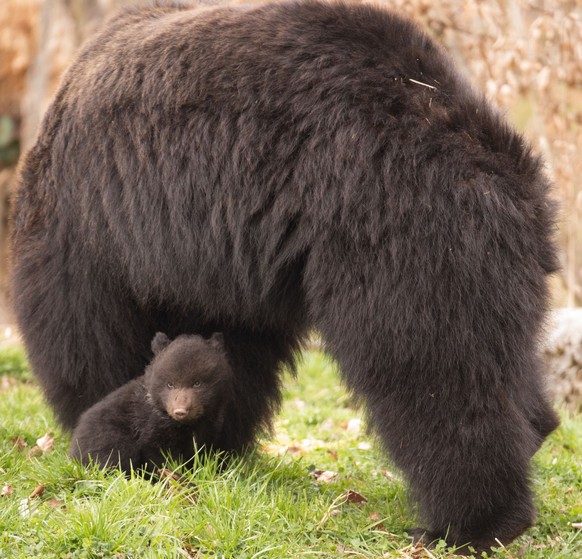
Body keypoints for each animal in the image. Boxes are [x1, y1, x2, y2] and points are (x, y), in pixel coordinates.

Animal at [11, 0, 560, 552]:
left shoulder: (108, 232)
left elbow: (91, 341)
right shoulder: (223, 260)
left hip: (402, 233)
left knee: (434, 378)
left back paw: (465, 525)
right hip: (491, 269)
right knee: (499, 361)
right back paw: (535, 431)